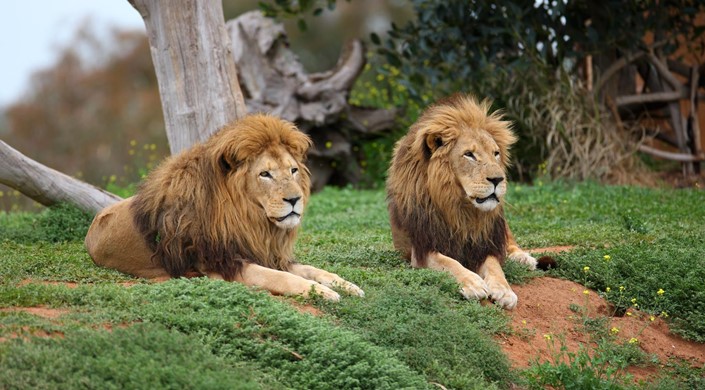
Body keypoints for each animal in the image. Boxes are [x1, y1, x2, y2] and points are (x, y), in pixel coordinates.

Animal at [84, 114, 364, 300]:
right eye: (265, 174)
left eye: (293, 170)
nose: (295, 200)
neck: (249, 219)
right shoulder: (222, 264)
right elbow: (281, 277)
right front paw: (324, 293)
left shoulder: (264, 253)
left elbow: (311, 269)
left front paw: (346, 285)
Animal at [384, 93, 532, 308]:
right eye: (469, 154)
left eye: (495, 153)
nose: (498, 179)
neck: (460, 208)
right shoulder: (421, 248)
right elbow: (448, 262)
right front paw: (473, 283)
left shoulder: (483, 246)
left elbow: (495, 266)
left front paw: (504, 290)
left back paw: (524, 258)